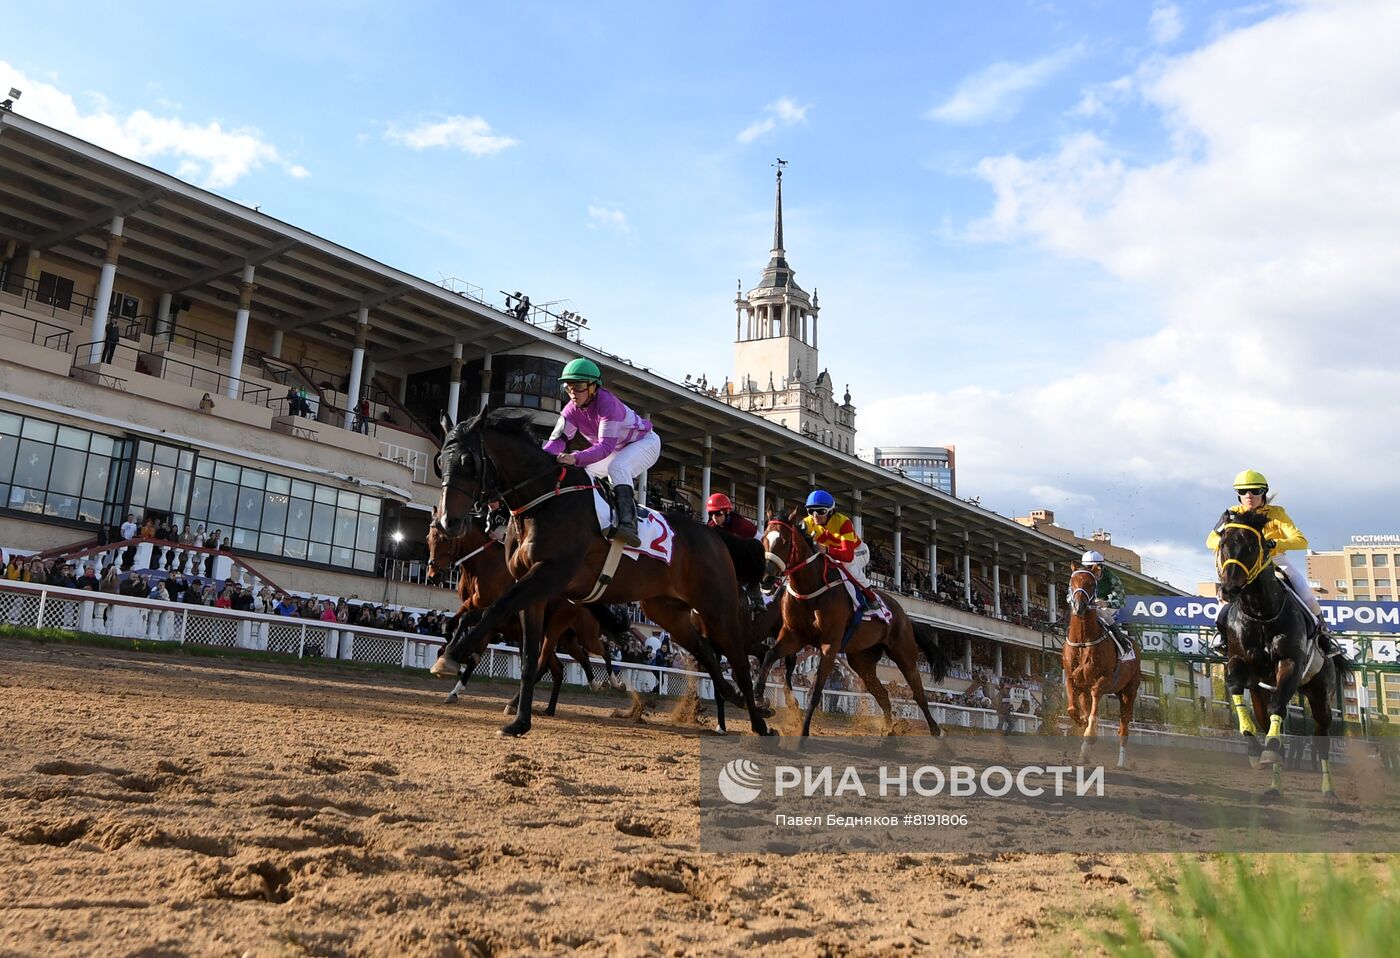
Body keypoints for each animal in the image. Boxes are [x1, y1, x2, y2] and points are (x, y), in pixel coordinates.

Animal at [425, 512, 624, 714]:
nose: (433, 575)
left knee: (596, 651)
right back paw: (563, 701)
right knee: (566, 665)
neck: (484, 566)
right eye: (428, 538)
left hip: (574, 633)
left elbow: (466, 626)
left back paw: (614, 683)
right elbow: (453, 625)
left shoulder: (491, 615)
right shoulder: (476, 612)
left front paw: (454, 659)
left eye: (445, 539)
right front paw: (450, 661)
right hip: (565, 639)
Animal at [756, 512, 952, 739]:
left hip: (904, 655)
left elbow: (815, 692)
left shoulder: (830, 645)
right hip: (862, 661)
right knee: (883, 694)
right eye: (764, 539)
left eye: (785, 542)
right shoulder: (793, 636)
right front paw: (760, 700)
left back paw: (936, 730)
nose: (766, 578)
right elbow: (769, 655)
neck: (811, 588)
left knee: (918, 693)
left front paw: (803, 730)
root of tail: (904, 616)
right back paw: (889, 729)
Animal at [1064, 565, 1142, 767]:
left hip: (1129, 692)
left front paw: (1090, 734)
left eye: (1091, 584)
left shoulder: (1102, 680)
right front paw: (1082, 726)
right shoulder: (1072, 679)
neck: (1083, 641)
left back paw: (1121, 762)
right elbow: (1073, 709)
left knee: (1124, 728)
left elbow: (1093, 709)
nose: (1079, 607)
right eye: (1072, 581)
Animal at [1220, 509, 1338, 801]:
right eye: (1222, 543)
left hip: (1320, 697)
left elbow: (1279, 708)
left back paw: (1329, 791)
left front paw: (1270, 748)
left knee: (1322, 740)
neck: (1261, 612)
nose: (1228, 589)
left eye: (1252, 546)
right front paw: (1254, 747)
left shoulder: (1290, 663)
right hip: (1261, 691)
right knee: (1267, 718)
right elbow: (1236, 687)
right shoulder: (1238, 661)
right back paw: (1275, 787)